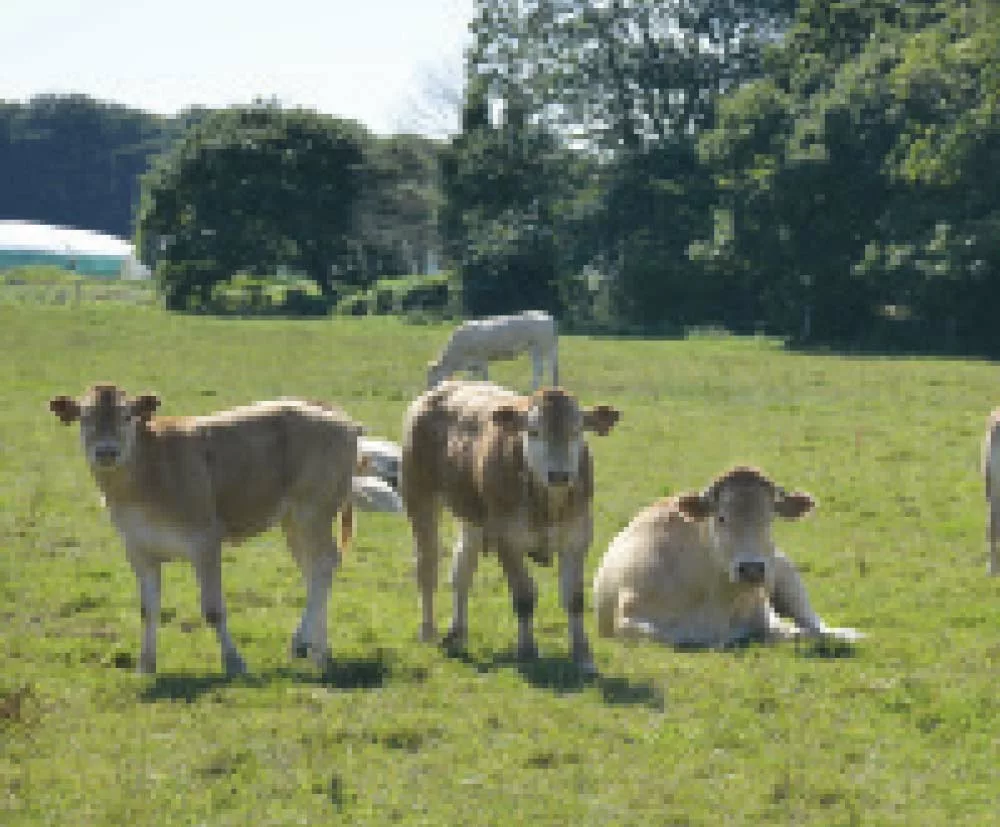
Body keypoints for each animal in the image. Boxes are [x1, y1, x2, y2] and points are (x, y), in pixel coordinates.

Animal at [48, 384, 366, 676]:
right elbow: (148, 610)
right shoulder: (138, 549)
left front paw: (235, 663)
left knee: (324, 564)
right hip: (294, 521)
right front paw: (145, 666)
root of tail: (328, 411)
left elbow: (213, 610)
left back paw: (306, 645)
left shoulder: (205, 540)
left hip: (313, 510)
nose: (106, 451)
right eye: (85, 417)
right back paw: (317, 650)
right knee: (312, 569)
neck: (148, 473)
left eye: (127, 416)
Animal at [402, 382, 620, 672]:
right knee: (427, 565)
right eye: (533, 431)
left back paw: (457, 632)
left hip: (472, 519)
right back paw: (428, 630)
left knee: (462, 571)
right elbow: (524, 596)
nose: (559, 475)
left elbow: (574, 598)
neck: (547, 504)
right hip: (419, 495)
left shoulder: (577, 538)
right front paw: (527, 651)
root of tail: (443, 388)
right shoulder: (507, 541)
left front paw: (583, 656)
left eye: (577, 431)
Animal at [426, 310, 560, 392]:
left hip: (538, 348)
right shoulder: (472, 365)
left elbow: (485, 377)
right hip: (548, 349)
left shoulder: (481, 359)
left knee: (539, 370)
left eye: (431, 378)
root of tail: (546, 316)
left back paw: (534, 390)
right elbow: (470, 378)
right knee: (552, 369)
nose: (427, 392)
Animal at [588, 468, 864, 652]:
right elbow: (670, 637)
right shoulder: (626, 618)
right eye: (721, 517)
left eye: (770, 518)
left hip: (786, 571)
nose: (751, 569)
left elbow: (800, 632)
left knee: (814, 623)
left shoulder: (765, 614)